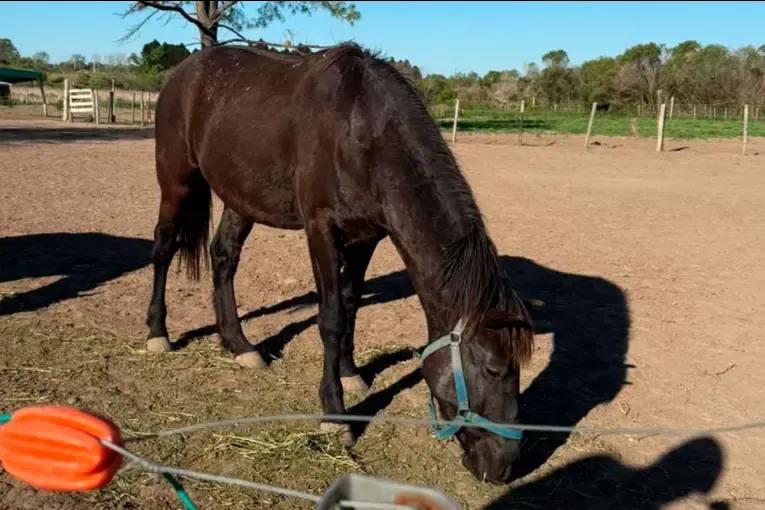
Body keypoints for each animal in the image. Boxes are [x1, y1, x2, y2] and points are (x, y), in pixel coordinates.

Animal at [145, 42, 535, 484]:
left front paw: (351, 373)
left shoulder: (367, 237)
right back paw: (158, 333)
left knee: (224, 258)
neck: (362, 132)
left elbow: (350, 305)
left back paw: (239, 345)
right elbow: (330, 318)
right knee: (163, 249)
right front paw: (335, 414)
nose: (505, 465)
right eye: (493, 369)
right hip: (175, 181)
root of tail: (184, 71)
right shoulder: (322, 231)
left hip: (240, 198)